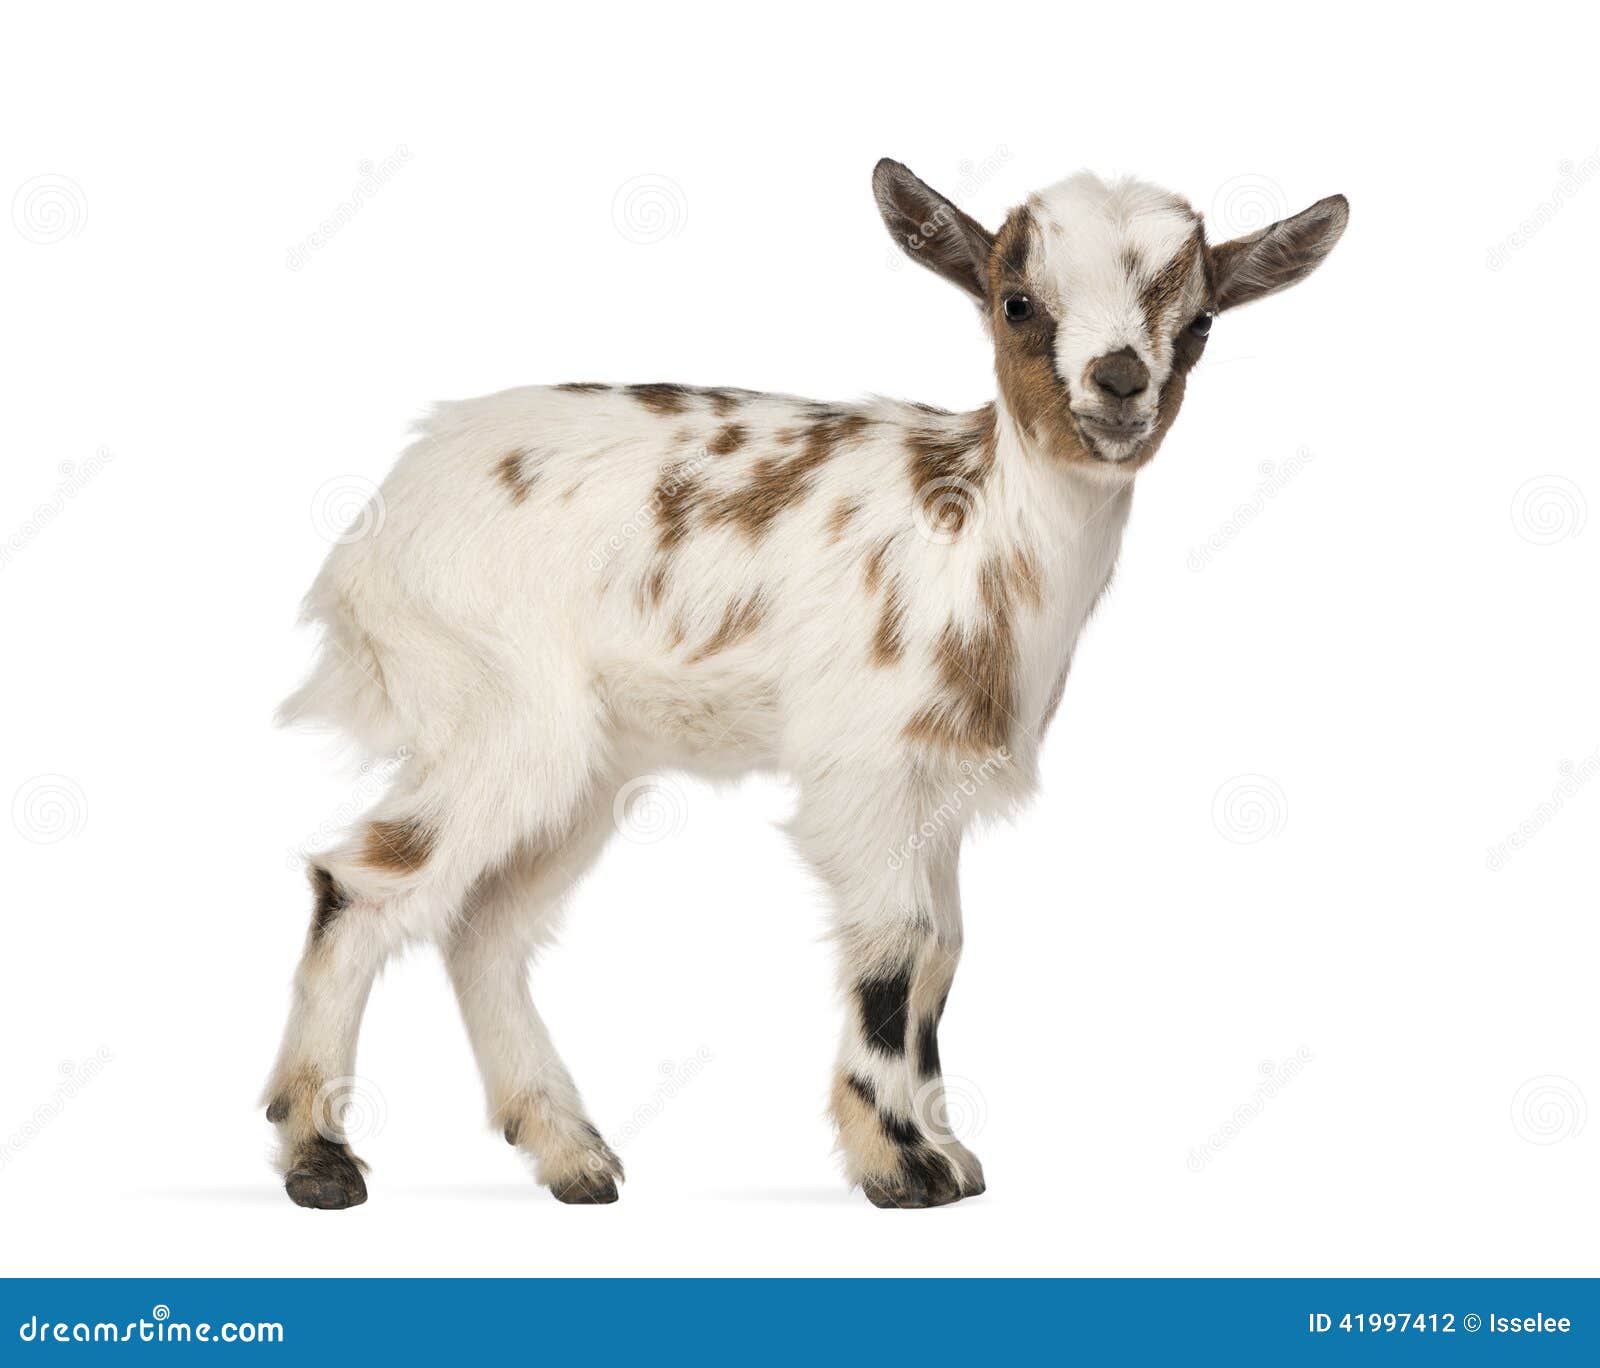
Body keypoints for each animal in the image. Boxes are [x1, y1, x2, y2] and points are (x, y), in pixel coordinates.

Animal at [264, 159, 1348, 1209]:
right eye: (1016, 301)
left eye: (1200, 320)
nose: (1118, 383)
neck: (979, 531)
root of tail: (377, 524)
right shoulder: (865, 766)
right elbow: (899, 945)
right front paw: (901, 1167)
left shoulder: (933, 786)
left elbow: (945, 950)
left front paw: (948, 1151)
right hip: (497, 706)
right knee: (360, 885)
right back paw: (320, 1159)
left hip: (589, 760)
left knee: (485, 930)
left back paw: (570, 1155)